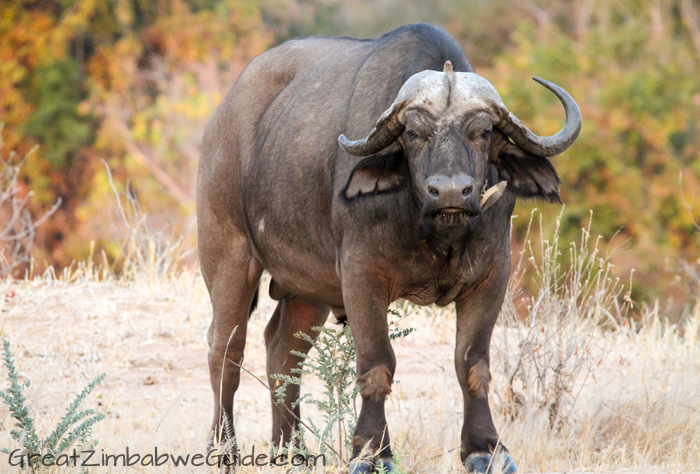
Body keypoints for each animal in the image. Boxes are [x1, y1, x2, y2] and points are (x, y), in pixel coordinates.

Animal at [197, 23, 580, 474]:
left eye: (484, 131)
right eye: (413, 133)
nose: (451, 191)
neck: (435, 231)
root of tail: (223, 116)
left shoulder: (491, 276)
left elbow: (473, 364)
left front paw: (485, 448)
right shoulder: (361, 275)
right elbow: (377, 363)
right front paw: (371, 452)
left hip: (308, 288)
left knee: (282, 351)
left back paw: (293, 453)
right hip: (227, 253)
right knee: (226, 349)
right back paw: (224, 450)